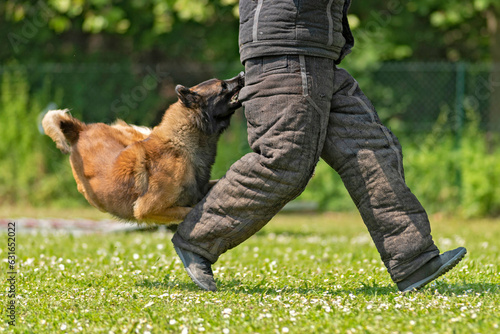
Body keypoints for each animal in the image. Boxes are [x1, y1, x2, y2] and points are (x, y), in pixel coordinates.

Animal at [42, 72, 244, 224]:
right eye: (223, 86)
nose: (242, 74)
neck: (181, 146)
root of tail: (81, 130)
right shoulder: (147, 209)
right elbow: (190, 211)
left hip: (132, 133)